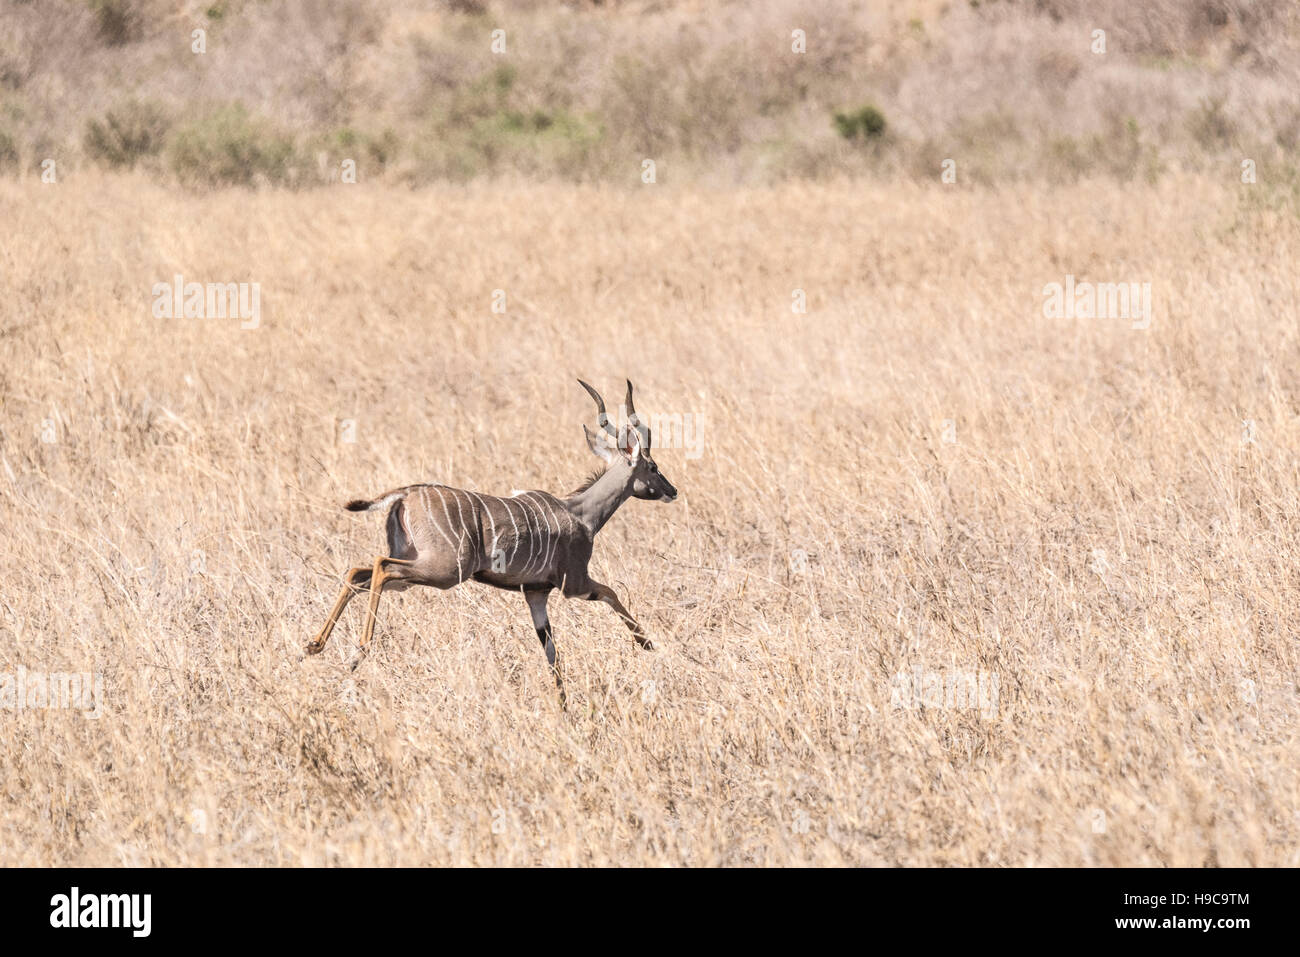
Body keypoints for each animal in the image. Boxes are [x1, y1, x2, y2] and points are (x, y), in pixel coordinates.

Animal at [301, 379, 670, 702]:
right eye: (652, 467)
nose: (673, 490)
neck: (579, 512)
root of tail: (406, 494)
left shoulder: (536, 595)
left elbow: (552, 655)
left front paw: (564, 707)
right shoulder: (573, 583)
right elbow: (611, 593)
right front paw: (647, 644)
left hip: (417, 569)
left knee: (357, 573)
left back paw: (314, 646)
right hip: (443, 571)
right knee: (381, 566)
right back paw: (359, 650)